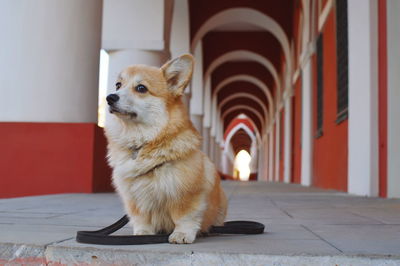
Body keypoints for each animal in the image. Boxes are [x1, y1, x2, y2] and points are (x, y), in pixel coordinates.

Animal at [104, 54, 227, 245]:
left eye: (141, 88)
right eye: (118, 85)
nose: (109, 97)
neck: (143, 142)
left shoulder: (186, 194)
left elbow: (184, 217)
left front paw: (182, 234)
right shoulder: (134, 198)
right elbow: (141, 218)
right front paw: (143, 233)